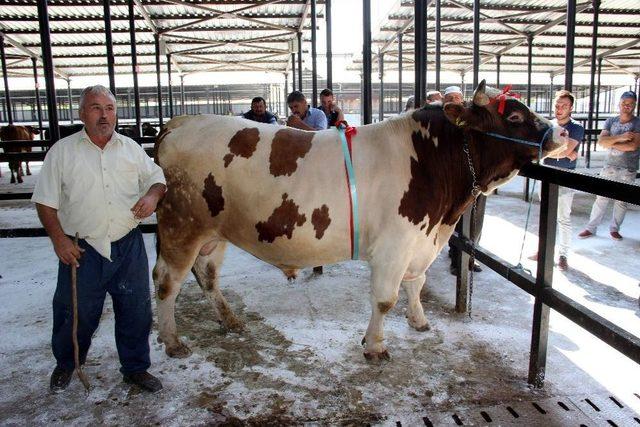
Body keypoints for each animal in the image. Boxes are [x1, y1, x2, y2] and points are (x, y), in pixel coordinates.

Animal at [152, 83, 568, 362]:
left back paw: (230, 320)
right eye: (514, 116)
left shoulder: (419, 241)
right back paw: (172, 341)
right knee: (167, 282)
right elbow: (385, 299)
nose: (562, 132)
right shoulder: (394, 245)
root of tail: (180, 121)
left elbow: (416, 284)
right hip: (180, 226)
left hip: (214, 234)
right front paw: (376, 345)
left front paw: (419, 321)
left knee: (207, 276)